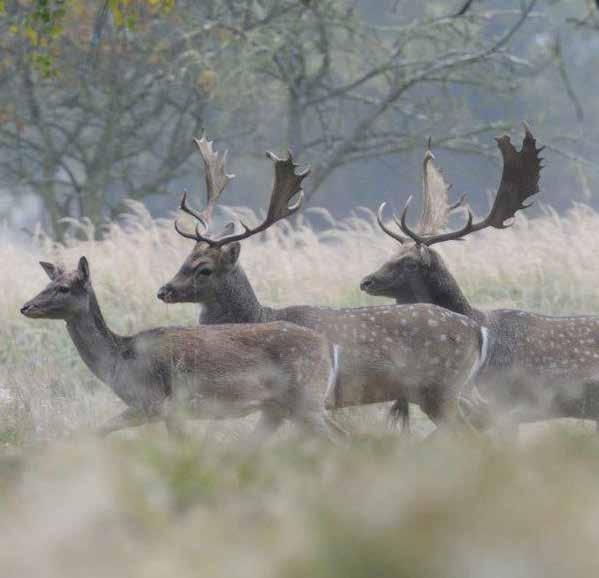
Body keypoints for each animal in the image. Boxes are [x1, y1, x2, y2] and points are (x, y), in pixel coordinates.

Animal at [21, 254, 346, 438]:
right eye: (46, 284)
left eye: (63, 288)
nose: (25, 306)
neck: (121, 362)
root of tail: (327, 346)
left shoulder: (156, 403)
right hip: (283, 407)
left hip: (306, 400)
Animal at [157, 134, 490, 424]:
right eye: (185, 258)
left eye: (204, 269)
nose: (164, 290)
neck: (259, 316)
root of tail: (477, 330)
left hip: (440, 389)